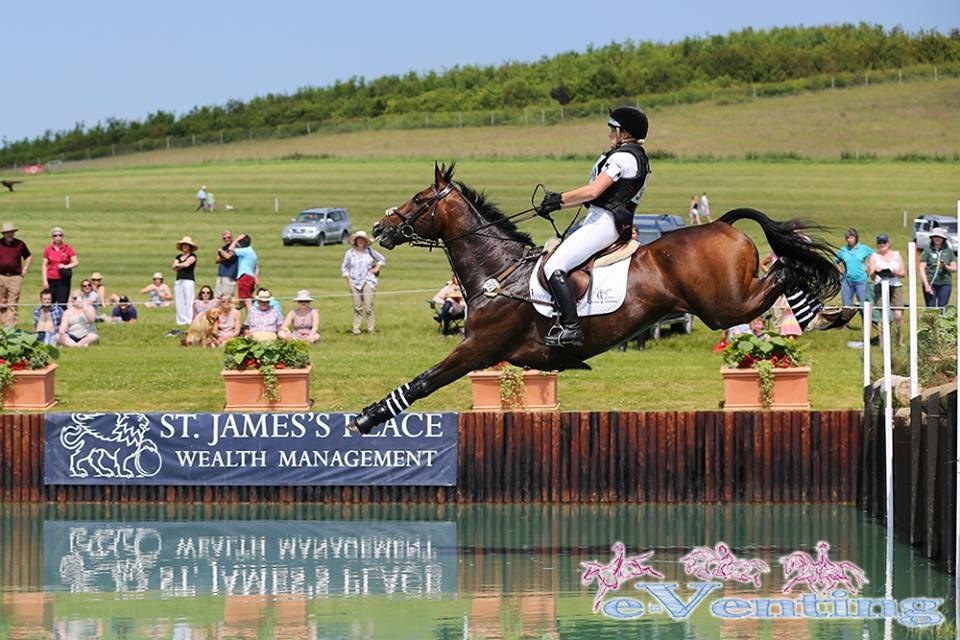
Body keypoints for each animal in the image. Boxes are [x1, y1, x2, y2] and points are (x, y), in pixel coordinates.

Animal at [352, 162, 840, 436]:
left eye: (419, 199)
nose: (379, 228)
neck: (499, 270)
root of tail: (721, 223)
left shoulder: (478, 347)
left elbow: (423, 381)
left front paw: (367, 418)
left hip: (724, 307)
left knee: (785, 269)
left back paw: (815, 314)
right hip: (724, 304)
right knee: (782, 270)